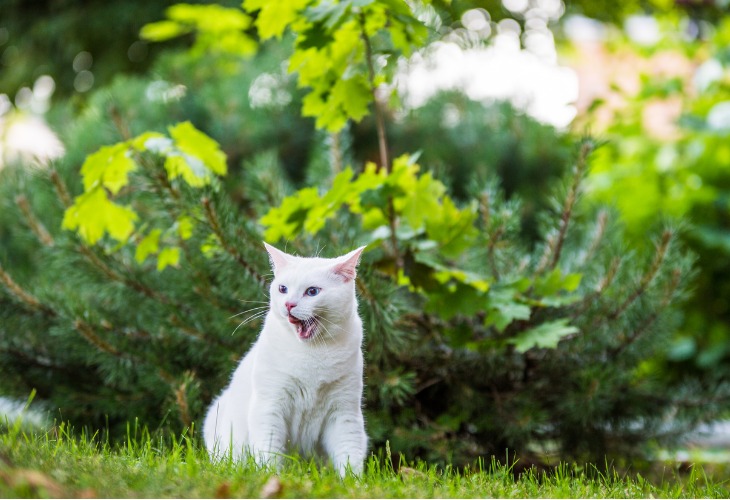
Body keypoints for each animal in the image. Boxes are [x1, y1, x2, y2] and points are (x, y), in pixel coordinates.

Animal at [202, 243, 366, 476]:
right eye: (282, 289)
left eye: (312, 291)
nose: (288, 304)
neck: (313, 352)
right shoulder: (270, 406)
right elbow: (269, 452)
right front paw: (271, 478)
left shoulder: (344, 413)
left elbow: (349, 454)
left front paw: (353, 482)